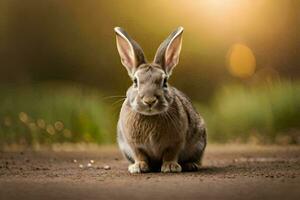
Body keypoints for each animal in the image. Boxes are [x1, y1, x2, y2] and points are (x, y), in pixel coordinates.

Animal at [113, 26, 206, 173]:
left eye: (165, 81)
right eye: (135, 82)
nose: (149, 100)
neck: (150, 117)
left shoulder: (175, 142)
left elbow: (170, 154)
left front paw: (170, 167)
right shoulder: (134, 145)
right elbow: (140, 155)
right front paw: (138, 167)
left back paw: (190, 165)